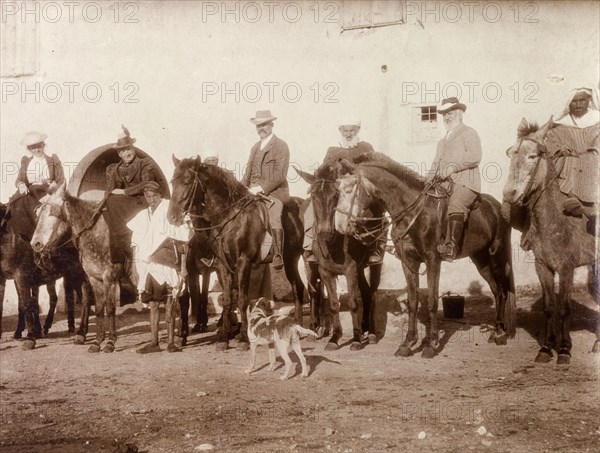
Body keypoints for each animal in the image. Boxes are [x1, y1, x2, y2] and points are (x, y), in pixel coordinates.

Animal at [166, 155, 304, 350]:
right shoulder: (223, 265)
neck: (229, 218)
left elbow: (242, 299)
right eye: (172, 181)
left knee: (298, 286)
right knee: (298, 286)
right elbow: (227, 299)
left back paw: (300, 324)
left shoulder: (243, 261)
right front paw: (224, 337)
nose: (172, 217)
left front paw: (244, 338)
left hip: (292, 259)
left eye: (186, 182)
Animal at [296, 161, 384, 352]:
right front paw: (335, 338)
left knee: (372, 293)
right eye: (314, 196)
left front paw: (356, 339)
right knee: (366, 292)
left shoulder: (350, 269)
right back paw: (365, 329)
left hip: (373, 264)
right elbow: (333, 304)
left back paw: (371, 333)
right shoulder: (326, 272)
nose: (324, 233)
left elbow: (353, 303)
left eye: (336, 195)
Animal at [332, 154, 516, 358]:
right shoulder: (409, 262)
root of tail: (498, 207)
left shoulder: (433, 260)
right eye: (337, 190)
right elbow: (413, 301)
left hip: (497, 256)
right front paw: (407, 343)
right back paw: (495, 332)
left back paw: (500, 334)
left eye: (349, 190)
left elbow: (432, 301)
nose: (339, 225)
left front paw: (431, 344)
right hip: (481, 260)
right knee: (496, 290)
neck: (412, 211)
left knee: (502, 291)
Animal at [504, 117, 596, 364]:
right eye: (511, 153)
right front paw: (546, 348)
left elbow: (563, 307)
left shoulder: (566, 268)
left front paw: (564, 349)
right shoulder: (543, 266)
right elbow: (548, 307)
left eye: (533, 156)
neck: (555, 218)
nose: (509, 194)